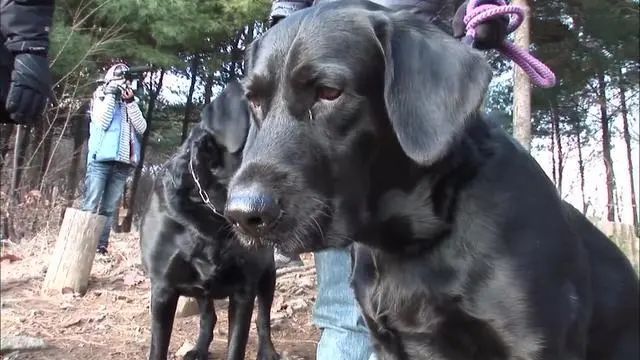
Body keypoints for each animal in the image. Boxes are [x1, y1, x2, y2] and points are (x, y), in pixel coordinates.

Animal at [140, 81, 280, 360]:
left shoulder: (244, 290)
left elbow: (237, 345)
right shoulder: (163, 288)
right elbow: (158, 347)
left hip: (267, 272)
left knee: (264, 316)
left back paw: (267, 351)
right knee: (209, 316)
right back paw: (199, 349)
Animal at [222, 1, 636, 358]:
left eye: (329, 92)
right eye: (254, 100)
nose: (243, 214)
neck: (411, 241)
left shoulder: (536, 341)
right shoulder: (387, 341)